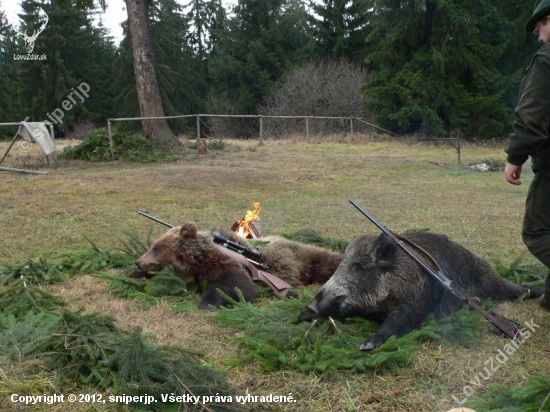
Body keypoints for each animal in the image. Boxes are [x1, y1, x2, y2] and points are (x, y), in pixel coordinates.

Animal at [135, 222, 340, 308]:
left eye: (156, 247)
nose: (138, 262)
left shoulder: (229, 265)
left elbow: (237, 286)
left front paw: (208, 302)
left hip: (302, 256)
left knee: (328, 260)